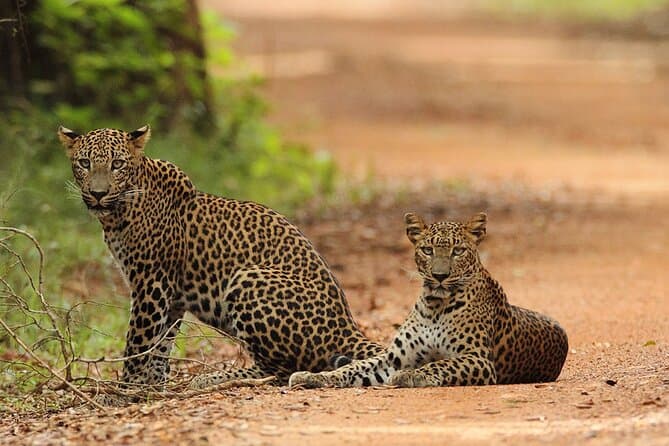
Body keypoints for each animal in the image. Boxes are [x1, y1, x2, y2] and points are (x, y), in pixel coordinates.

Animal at [57, 125, 383, 397]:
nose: (98, 193)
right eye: (84, 163)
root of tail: (347, 326)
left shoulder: (151, 285)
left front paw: (124, 391)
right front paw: (153, 386)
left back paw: (212, 379)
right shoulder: (171, 297)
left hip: (248, 279)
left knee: (280, 370)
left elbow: (139, 341)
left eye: (117, 164)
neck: (118, 213)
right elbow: (161, 346)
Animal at [289, 212, 568, 389]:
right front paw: (313, 377)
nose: (440, 276)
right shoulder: (393, 358)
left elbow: (442, 365)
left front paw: (411, 376)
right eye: (427, 250)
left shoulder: (478, 359)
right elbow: (352, 368)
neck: (435, 304)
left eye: (458, 251)